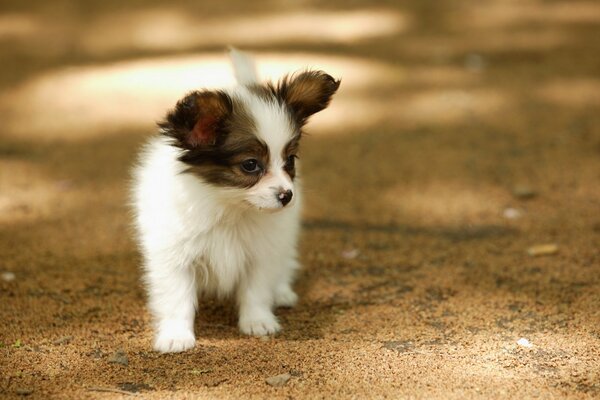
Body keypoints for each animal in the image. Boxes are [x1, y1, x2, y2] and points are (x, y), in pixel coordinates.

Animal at [132, 48, 340, 352]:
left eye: (290, 160)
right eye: (250, 165)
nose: (287, 196)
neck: (229, 206)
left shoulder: (261, 253)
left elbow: (256, 290)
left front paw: (258, 322)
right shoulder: (174, 257)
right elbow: (177, 299)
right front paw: (176, 335)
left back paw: (282, 292)